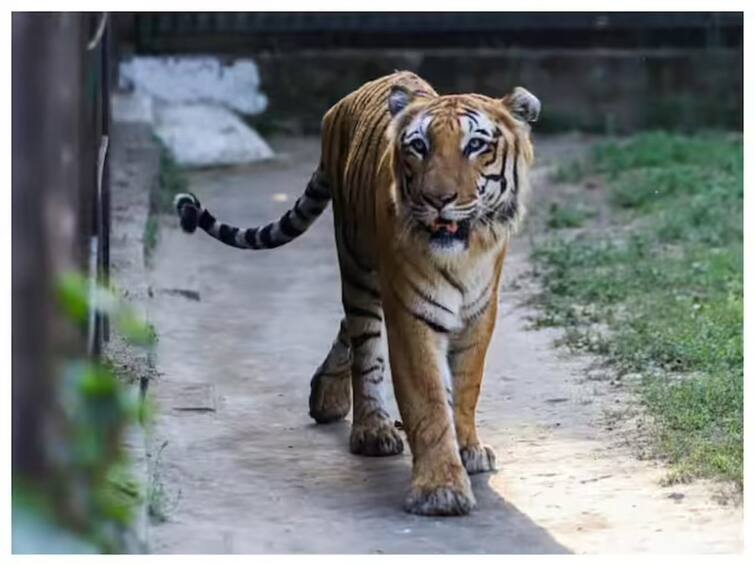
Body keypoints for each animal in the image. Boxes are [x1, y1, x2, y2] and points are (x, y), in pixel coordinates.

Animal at [174, 69, 540, 516]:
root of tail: (344, 102)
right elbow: (429, 399)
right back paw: (370, 430)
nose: (437, 199)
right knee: (365, 347)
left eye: (475, 145)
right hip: (358, 268)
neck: (463, 256)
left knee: (346, 329)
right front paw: (440, 489)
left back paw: (325, 396)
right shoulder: (412, 311)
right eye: (419, 146)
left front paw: (468, 449)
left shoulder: (480, 313)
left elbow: (467, 386)